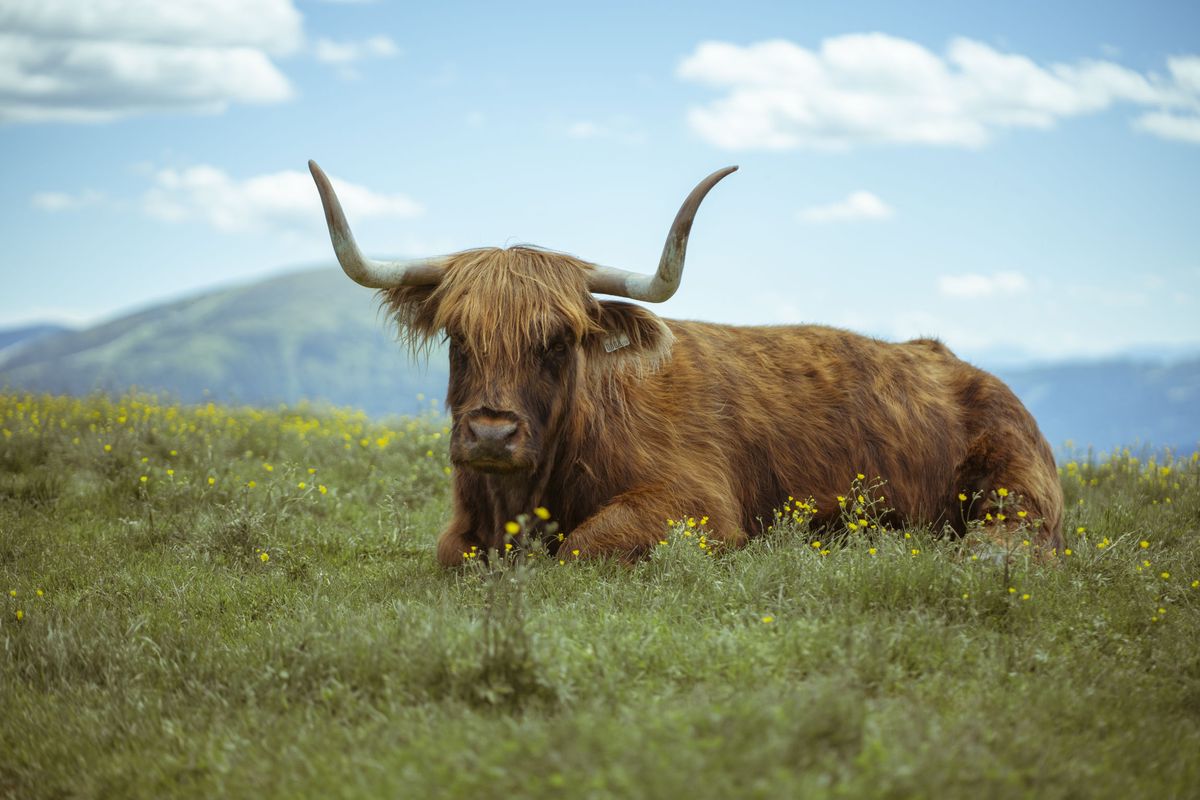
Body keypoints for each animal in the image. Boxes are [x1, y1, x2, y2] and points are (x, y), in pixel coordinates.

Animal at [308, 160, 1064, 565]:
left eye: (558, 340)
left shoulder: (695, 506)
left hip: (1013, 488)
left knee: (1009, 538)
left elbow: (583, 545)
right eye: (459, 337)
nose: (491, 433)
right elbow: (450, 553)